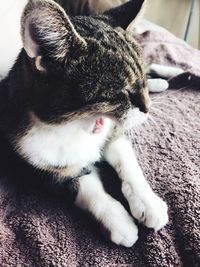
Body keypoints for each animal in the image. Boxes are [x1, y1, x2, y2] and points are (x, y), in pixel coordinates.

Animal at [0, 0, 169, 248]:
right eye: (122, 92)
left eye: (141, 84)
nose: (147, 109)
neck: (79, 123)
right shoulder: (33, 164)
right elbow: (82, 185)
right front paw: (118, 221)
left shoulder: (113, 132)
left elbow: (127, 161)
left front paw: (149, 203)